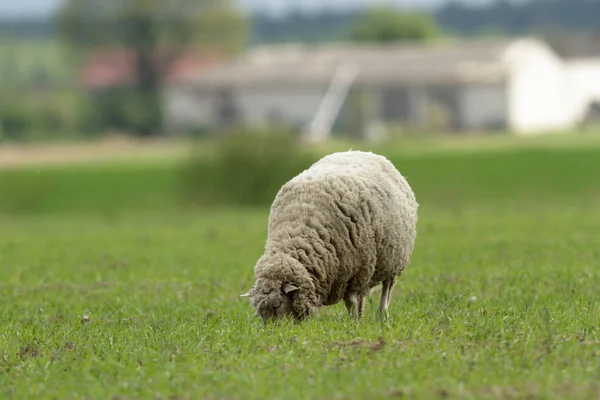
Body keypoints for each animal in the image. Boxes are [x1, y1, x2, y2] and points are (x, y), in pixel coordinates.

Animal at [239, 150, 418, 324]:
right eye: (260, 312)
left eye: (277, 305)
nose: (273, 331)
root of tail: (363, 152)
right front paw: (357, 319)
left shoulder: (357, 271)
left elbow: (351, 301)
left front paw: (354, 324)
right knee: (365, 295)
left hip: (393, 261)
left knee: (386, 289)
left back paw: (382, 315)